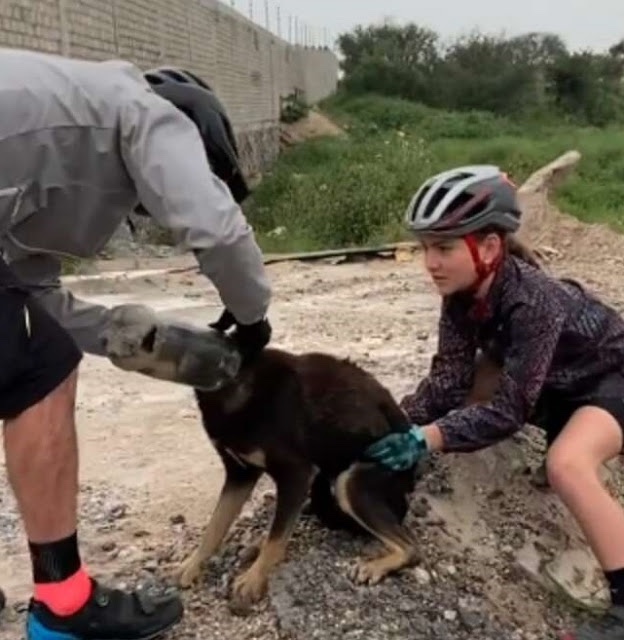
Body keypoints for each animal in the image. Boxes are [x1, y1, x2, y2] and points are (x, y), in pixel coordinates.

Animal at [173, 344, 504, 616]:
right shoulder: (239, 474)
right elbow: (215, 527)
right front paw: (192, 565)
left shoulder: (295, 472)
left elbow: (276, 540)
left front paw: (254, 579)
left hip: (350, 483)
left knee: (411, 546)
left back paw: (375, 566)